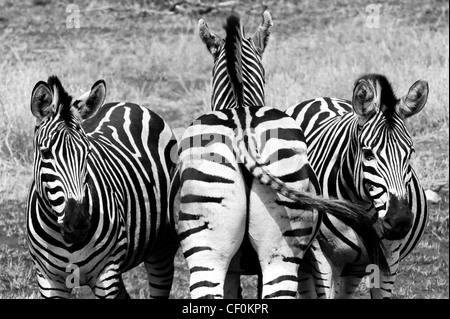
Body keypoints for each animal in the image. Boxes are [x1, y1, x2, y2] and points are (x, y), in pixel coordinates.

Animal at [26, 76, 179, 298]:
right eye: (46, 153)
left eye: (88, 152)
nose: (78, 224)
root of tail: (128, 104)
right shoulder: (47, 280)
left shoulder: (106, 274)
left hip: (162, 248)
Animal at [286, 74, 430, 298]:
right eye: (368, 153)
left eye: (410, 153)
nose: (399, 222)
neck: (363, 206)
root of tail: (322, 98)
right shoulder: (322, 255)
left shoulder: (389, 257)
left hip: (354, 264)